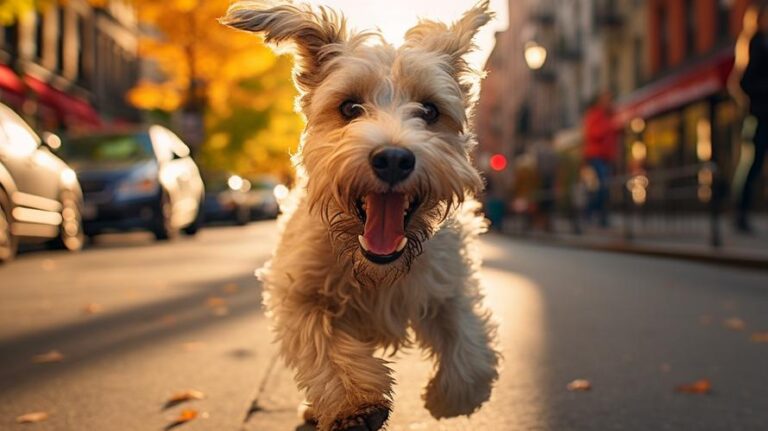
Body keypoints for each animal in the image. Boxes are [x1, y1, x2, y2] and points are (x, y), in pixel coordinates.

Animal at [219, 1, 500, 430]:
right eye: (350, 107)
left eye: (429, 110)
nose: (394, 158)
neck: (376, 269)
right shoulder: (298, 292)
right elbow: (324, 346)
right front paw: (356, 403)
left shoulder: (448, 282)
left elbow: (467, 346)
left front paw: (447, 397)